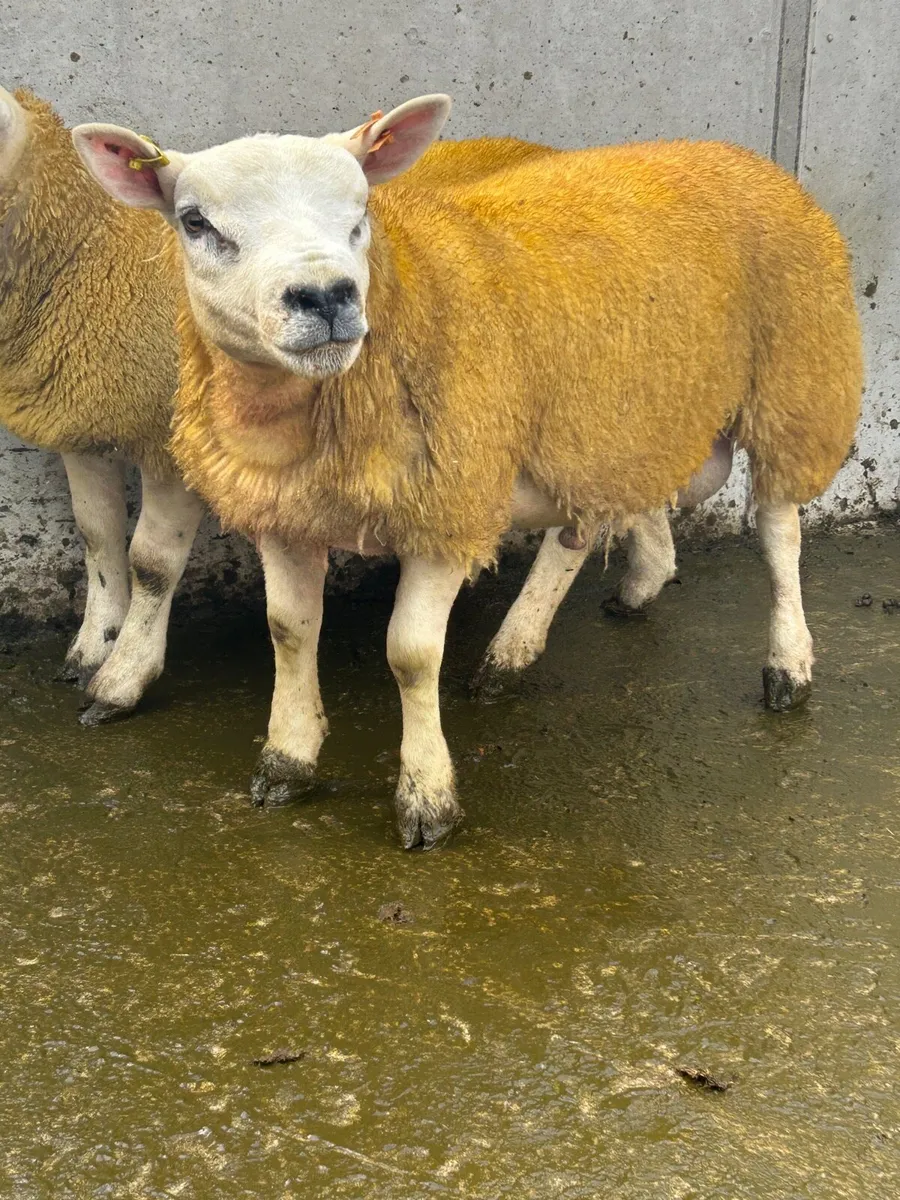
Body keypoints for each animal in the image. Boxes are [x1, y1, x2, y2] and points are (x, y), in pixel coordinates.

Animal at [0, 85, 205, 720]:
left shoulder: (175, 442)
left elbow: (153, 564)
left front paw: (122, 681)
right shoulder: (85, 425)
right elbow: (97, 534)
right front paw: (94, 647)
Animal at [73, 94, 862, 848]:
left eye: (361, 211)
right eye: (195, 222)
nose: (326, 297)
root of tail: (737, 154)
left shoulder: (450, 501)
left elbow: (411, 655)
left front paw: (427, 800)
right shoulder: (288, 511)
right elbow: (289, 631)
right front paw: (287, 760)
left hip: (796, 380)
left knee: (779, 532)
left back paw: (788, 665)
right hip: (599, 420)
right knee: (585, 528)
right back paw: (545, 633)